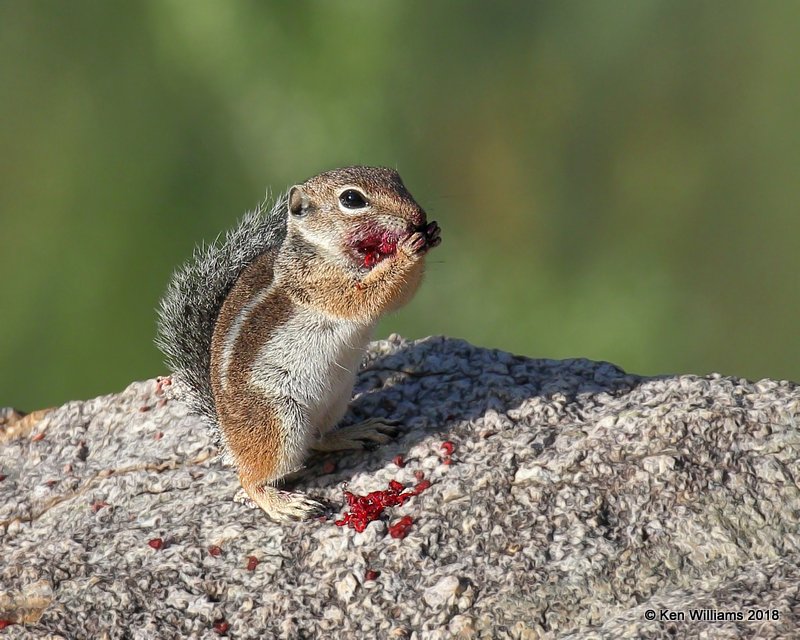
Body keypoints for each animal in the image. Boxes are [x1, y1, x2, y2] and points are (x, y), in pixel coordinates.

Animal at [155, 168, 444, 524]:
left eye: (396, 177)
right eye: (352, 199)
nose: (418, 217)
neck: (324, 252)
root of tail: (228, 438)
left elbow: (400, 295)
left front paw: (431, 234)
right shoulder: (322, 285)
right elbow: (369, 296)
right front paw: (408, 249)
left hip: (335, 399)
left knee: (317, 441)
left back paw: (357, 432)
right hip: (280, 424)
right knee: (250, 478)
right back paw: (285, 504)